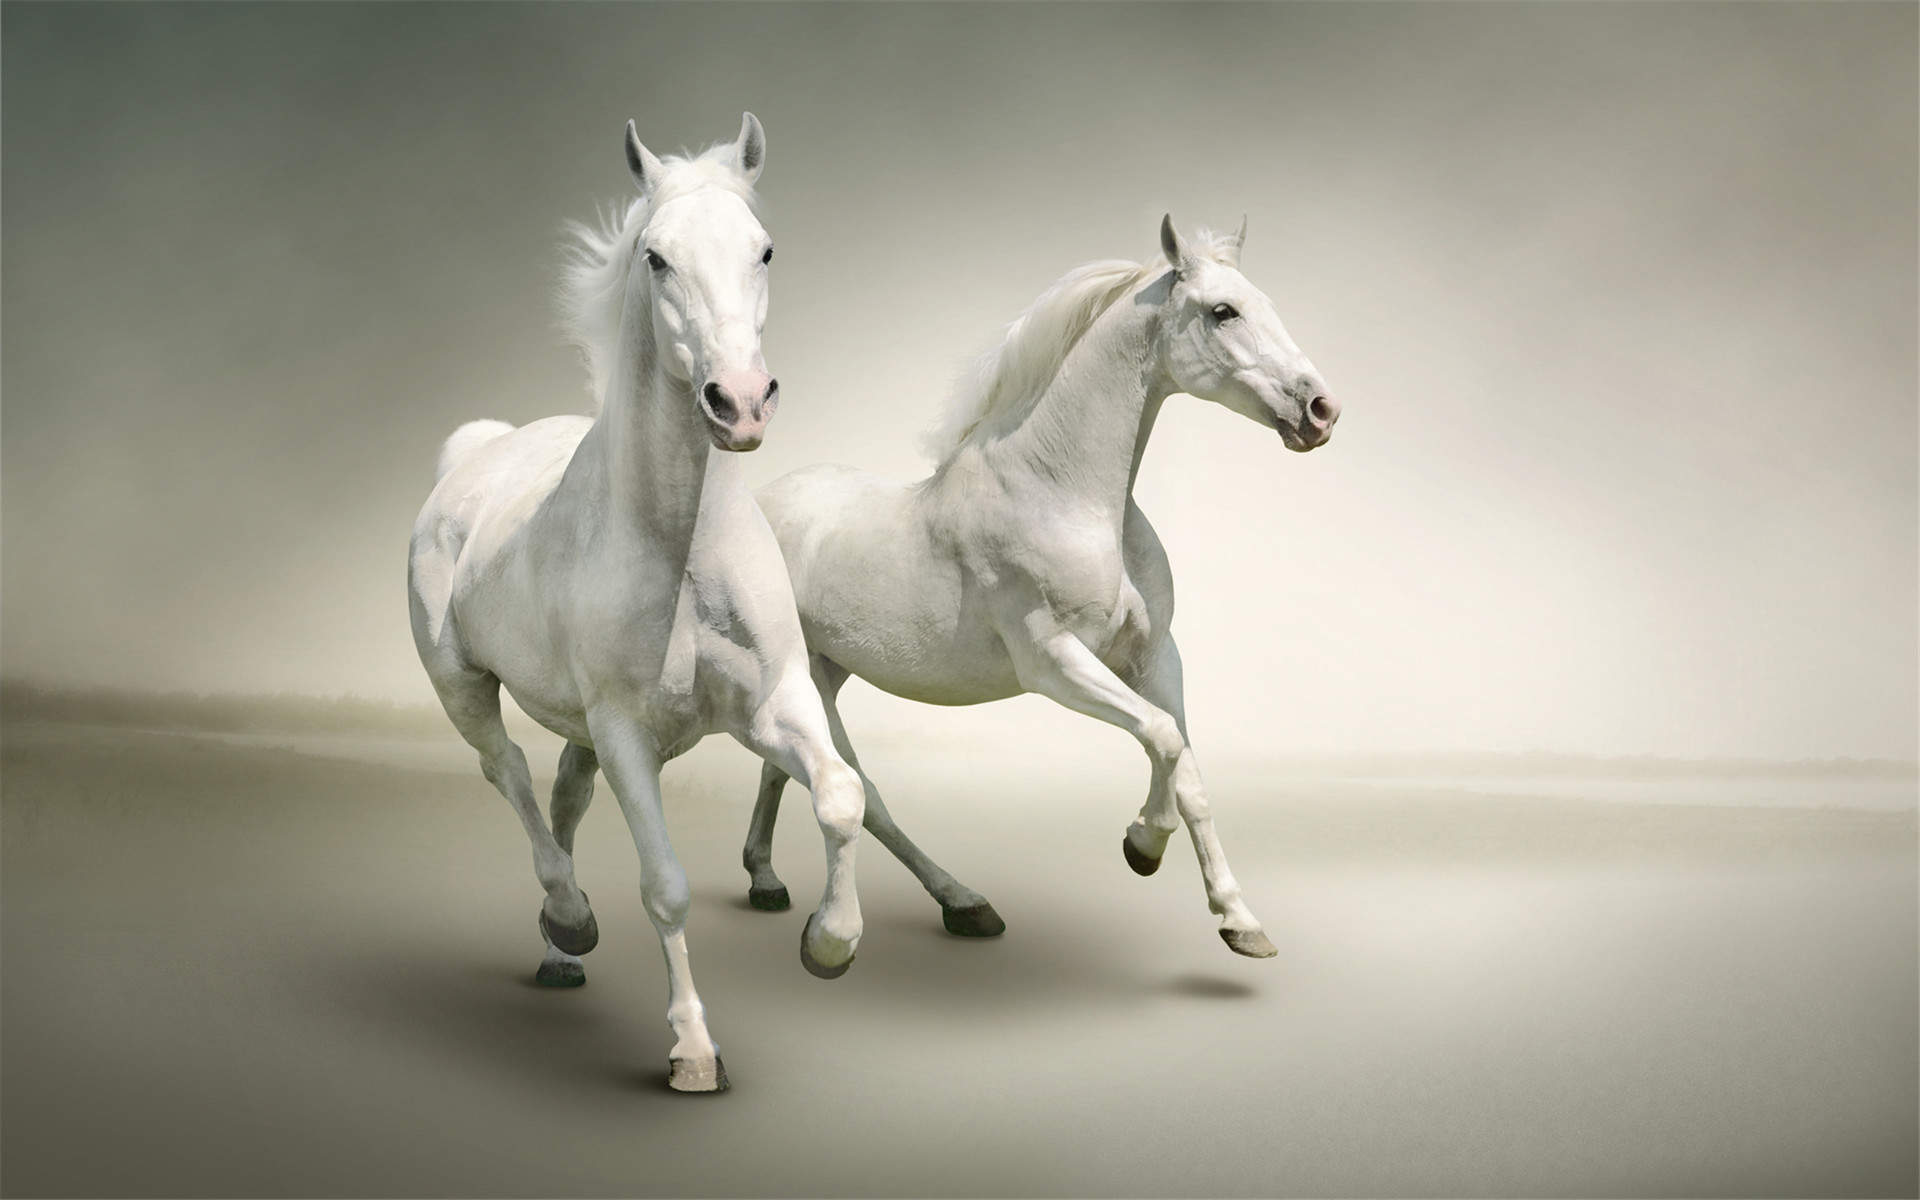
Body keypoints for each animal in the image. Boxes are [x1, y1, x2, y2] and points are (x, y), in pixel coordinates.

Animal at [408, 115, 866, 1093]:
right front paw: (693, 1051)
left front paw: (829, 942)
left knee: (562, 794)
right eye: (657, 258)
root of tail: (476, 454)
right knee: (507, 773)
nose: (740, 402)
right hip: (462, 687)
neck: (681, 549)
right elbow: (666, 886)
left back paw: (559, 950)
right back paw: (569, 917)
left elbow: (842, 795)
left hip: (577, 726)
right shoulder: (627, 735)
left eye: (764, 249)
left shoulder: (772, 704)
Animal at [741, 215, 1339, 959]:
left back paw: (768, 881)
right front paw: (1142, 845)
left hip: (826, 670)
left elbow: (1189, 769)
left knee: (782, 768)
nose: (1321, 410)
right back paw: (954, 903)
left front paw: (1239, 921)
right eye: (1223, 311)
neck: (1065, 494)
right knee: (859, 790)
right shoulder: (1054, 663)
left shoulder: (1155, 657)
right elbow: (1164, 739)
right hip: (812, 680)